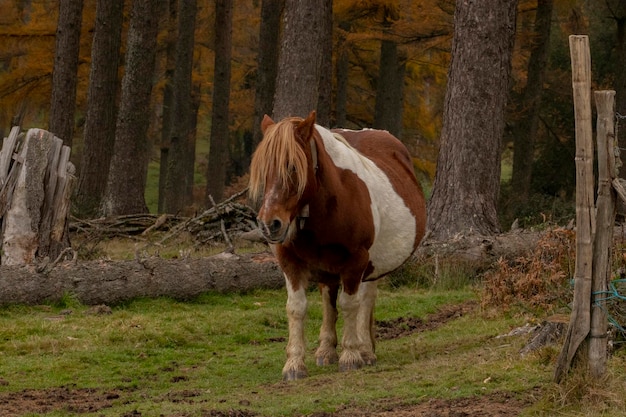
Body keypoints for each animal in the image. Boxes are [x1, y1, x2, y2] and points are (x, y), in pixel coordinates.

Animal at [247, 110, 424, 380]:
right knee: (329, 300)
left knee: (365, 299)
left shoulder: (356, 262)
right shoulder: (291, 265)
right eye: (263, 169)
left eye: (292, 167)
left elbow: (350, 304)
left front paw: (351, 356)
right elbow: (297, 308)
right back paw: (326, 351)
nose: (270, 224)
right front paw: (294, 364)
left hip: (371, 266)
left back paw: (365, 351)